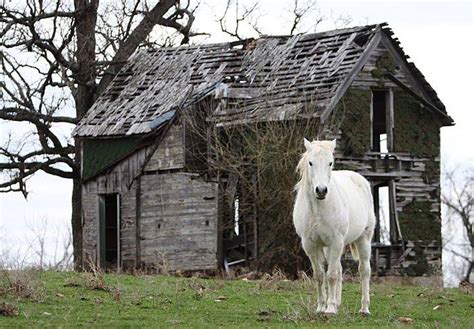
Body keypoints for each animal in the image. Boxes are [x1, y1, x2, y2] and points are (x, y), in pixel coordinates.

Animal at [290, 137, 376, 314]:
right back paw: (337, 302)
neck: (318, 208)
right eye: (310, 162)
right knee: (339, 269)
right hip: (328, 248)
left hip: (363, 239)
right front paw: (321, 307)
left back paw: (364, 308)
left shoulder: (336, 241)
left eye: (330, 163)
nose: (321, 190)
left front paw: (329, 309)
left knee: (364, 271)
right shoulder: (310, 245)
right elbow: (319, 275)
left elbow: (331, 275)